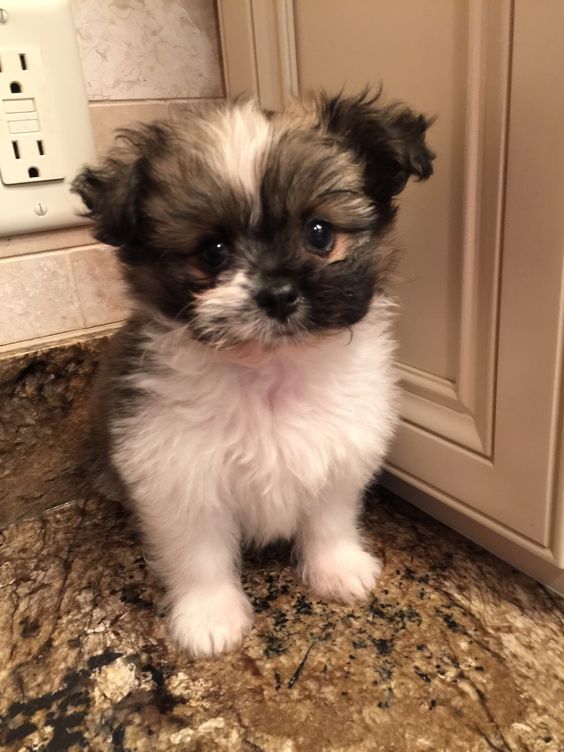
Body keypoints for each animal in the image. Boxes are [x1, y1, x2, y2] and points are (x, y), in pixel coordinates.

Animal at [72, 89, 434, 656]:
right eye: (212, 251)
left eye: (319, 233)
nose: (279, 292)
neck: (270, 372)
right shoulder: (178, 472)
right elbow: (199, 555)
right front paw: (210, 616)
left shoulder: (340, 451)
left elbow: (329, 518)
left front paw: (336, 569)